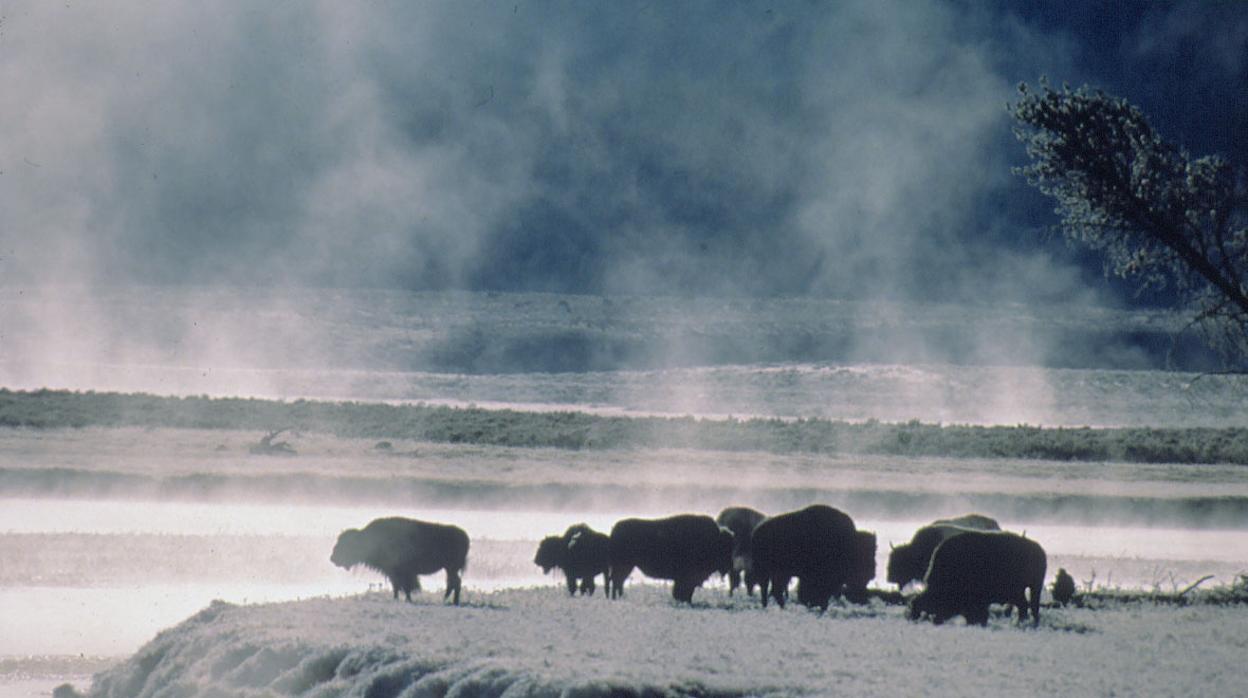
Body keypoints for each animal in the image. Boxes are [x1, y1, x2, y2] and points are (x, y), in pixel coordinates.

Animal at [331, 516, 469, 609]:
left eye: (346, 543)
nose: (332, 558)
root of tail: (464, 536)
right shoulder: (394, 573)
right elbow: (397, 586)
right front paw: (398, 599)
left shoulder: (401, 572)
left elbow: (404, 586)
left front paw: (406, 599)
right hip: (449, 569)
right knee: (454, 583)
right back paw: (449, 600)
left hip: (451, 568)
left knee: (455, 583)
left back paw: (453, 602)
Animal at [908, 529, 1043, 629]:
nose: (936, 620)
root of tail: (1039, 550)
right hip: (1027, 590)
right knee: (1027, 606)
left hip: (1033, 588)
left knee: (1030, 606)